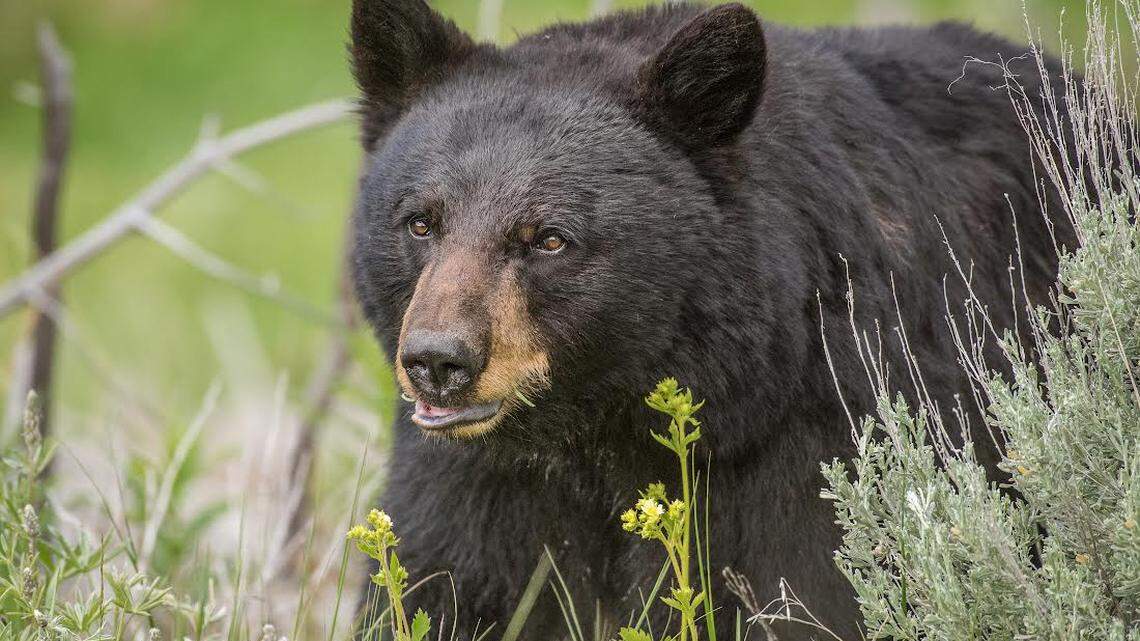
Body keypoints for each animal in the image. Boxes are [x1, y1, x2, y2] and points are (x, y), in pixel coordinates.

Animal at [347, 1, 1071, 638]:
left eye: (549, 238)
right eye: (420, 222)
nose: (438, 361)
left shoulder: (819, 436)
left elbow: (809, 589)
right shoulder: (476, 485)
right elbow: (446, 588)